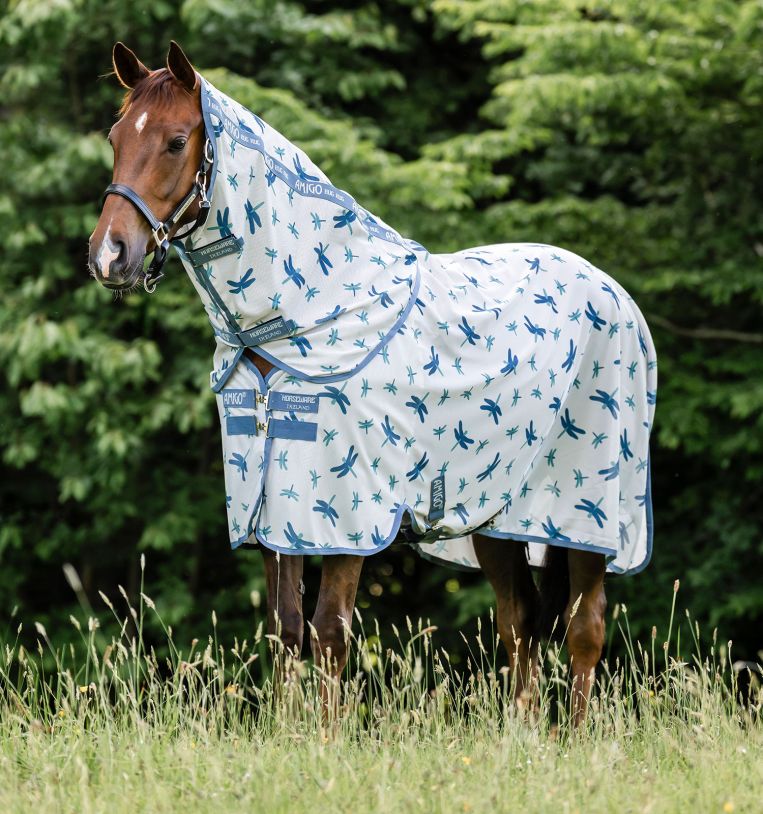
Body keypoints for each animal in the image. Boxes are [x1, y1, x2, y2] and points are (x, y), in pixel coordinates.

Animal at [89, 41, 657, 724]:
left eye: (176, 141)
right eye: (117, 136)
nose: (109, 255)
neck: (308, 312)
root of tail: (614, 294)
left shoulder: (347, 514)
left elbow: (331, 631)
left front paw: (325, 742)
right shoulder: (271, 505)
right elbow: (286, 630)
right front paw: (289, 735)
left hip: (581, 520)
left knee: (584, 628)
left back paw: (571, 740)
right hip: (494, 518)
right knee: (520, 623)